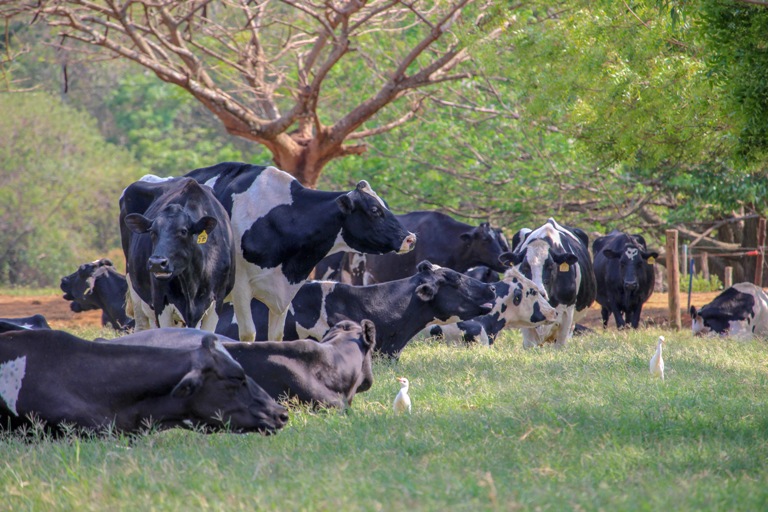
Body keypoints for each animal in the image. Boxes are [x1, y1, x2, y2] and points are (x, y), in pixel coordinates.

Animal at [118, 177, 234, 332]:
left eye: (183, 231)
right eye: (152, 232)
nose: (157, 263)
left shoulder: (216, 299)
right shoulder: (161, 300)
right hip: (134, 285)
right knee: (142, 324)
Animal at [184, 162, 414, 342]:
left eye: (386, 205)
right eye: (375, 210)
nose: (410, 238)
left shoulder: (284, 290)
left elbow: (276, 336)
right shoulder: (240, 286)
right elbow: (248, 333)